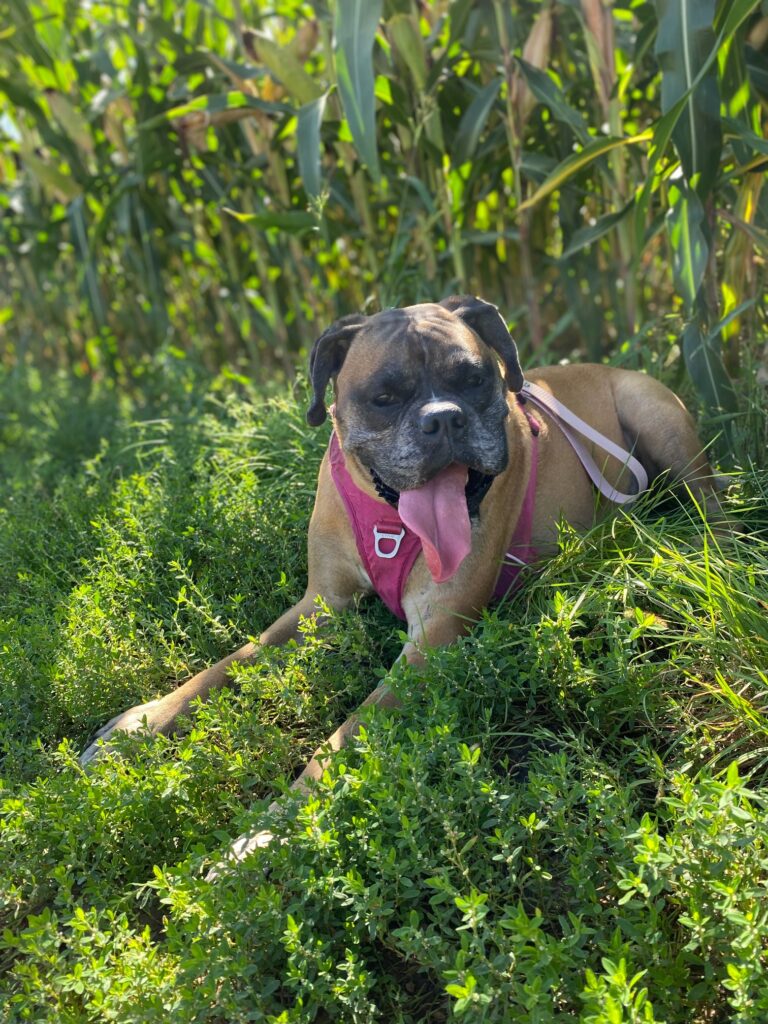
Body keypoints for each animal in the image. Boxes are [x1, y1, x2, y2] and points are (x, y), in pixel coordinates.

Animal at [81, 294, 724, 864]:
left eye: (473, 381)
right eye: (384, 397)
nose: (444, 420)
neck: (390, 522)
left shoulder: (429, 642)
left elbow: (337, 741)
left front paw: (268, 832)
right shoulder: (320, 605)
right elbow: (229, 664)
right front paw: (141, 724)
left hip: (656, 417)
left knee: (711, 505)